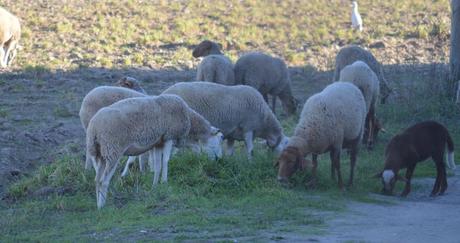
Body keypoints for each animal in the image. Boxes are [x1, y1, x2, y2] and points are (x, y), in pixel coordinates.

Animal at [86, 95, 223, 209]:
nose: (219, 160)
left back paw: (98, 204)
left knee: (97, 180)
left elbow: (157, 165)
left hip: (100, 154)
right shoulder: (169, 137)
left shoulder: (158, 143)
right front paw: (164, 181)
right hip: (112, 150)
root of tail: (94, 127)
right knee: (103, 181)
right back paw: (102, 205)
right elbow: (166, 161)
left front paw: (155, 185)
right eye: (220, 139)